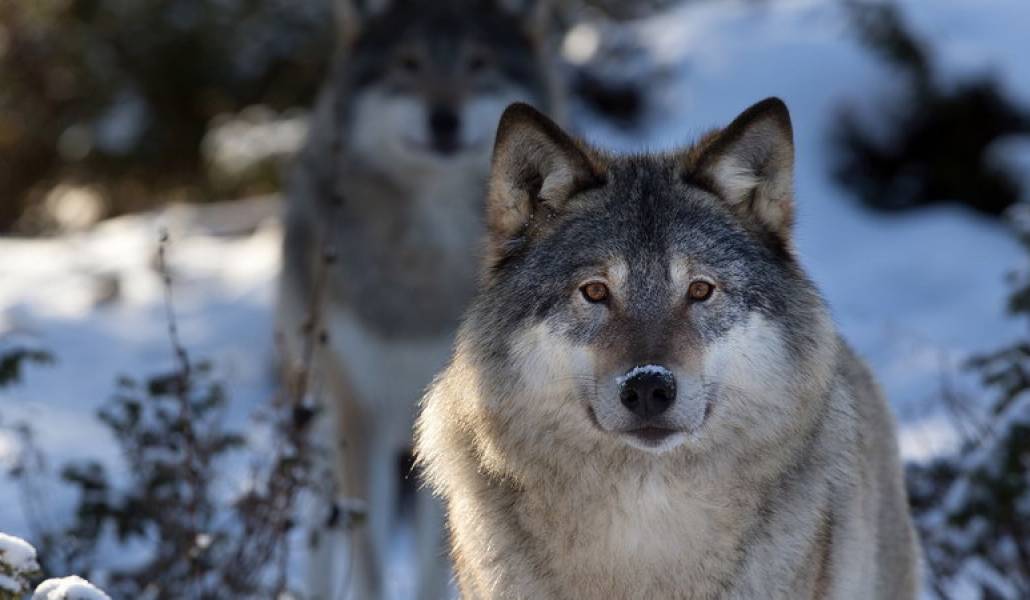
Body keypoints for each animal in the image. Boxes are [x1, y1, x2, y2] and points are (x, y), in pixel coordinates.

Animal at [276, 1, 562, 598]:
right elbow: (369, 558)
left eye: (479, 63)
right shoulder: (360, 412)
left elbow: (441, 555)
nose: (444, 119)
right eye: (408, 64)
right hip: (319, 415)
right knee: (320, 533)